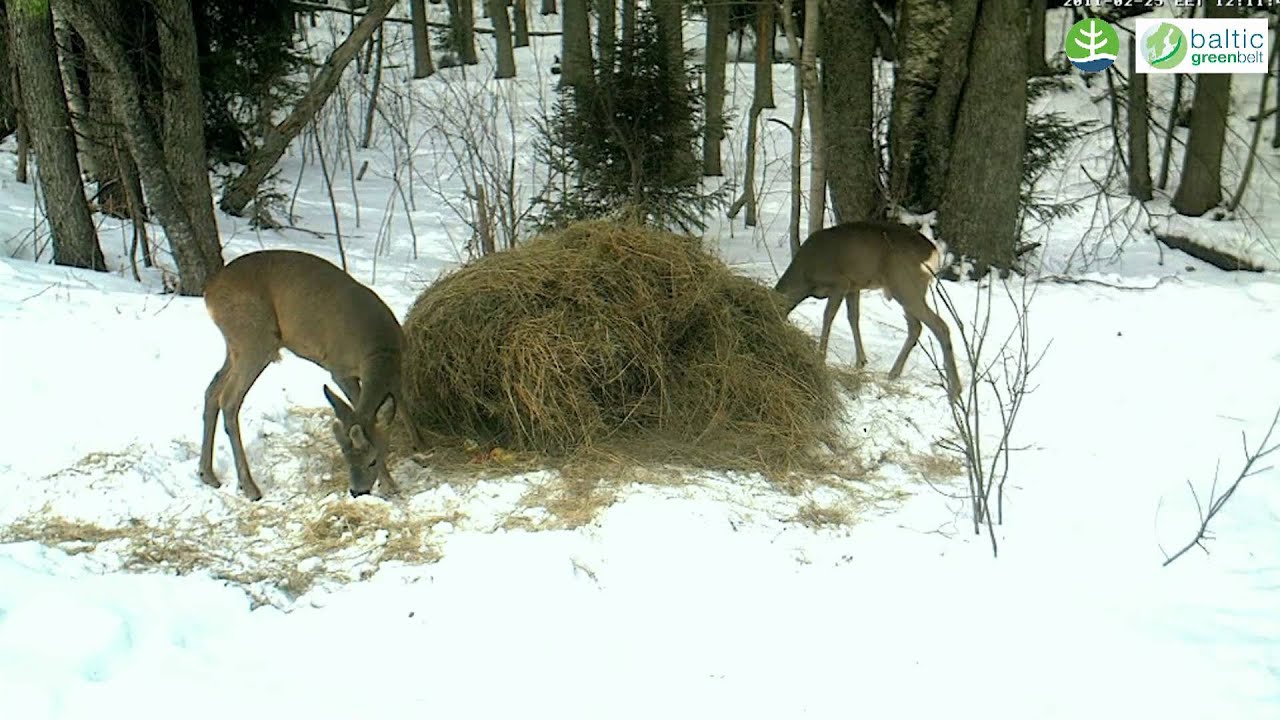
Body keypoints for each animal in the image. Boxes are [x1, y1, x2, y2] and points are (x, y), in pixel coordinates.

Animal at [198, 249, 425, 501]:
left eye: (372, 461)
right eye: (346, 457)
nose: (357, 491)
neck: (379, 349)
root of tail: (209, 292)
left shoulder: (397, 367)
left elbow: (401, 403)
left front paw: (421, 446)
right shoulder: (339, 370)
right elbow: (359, 408)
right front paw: (390, 483)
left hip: (236, 345)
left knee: (212, 389)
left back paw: (207, 474)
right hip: (255, 338)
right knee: (229, 399)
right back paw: (249, 487)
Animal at [774, 221, 963, 402]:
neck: (805, 277)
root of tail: (934, 253)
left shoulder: (841, 283)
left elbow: (828, 316)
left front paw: (821, 357)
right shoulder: (853, 286)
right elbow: (853, 317)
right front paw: (861, 361)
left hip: (906, 284)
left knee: (940, 326)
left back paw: (954, 391)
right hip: (907, 289)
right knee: (916, 327)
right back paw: (893, 373)